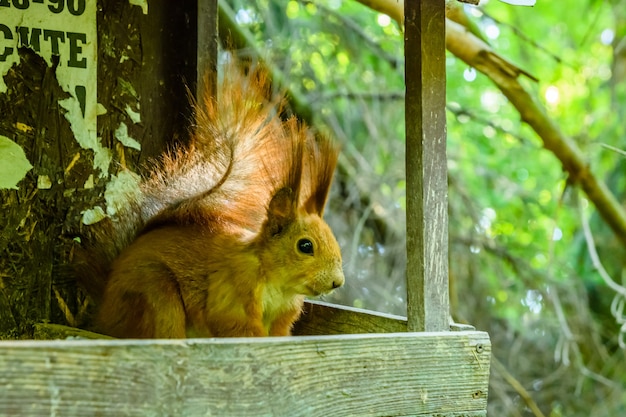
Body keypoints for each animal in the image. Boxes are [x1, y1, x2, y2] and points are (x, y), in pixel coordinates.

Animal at [77, 64, 344, 338]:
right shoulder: (233, 289)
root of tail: (104, 311)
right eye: (305, 246)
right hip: (155, 293)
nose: (338, 282)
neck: (279, 285)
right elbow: (234, 324)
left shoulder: (282, 316)